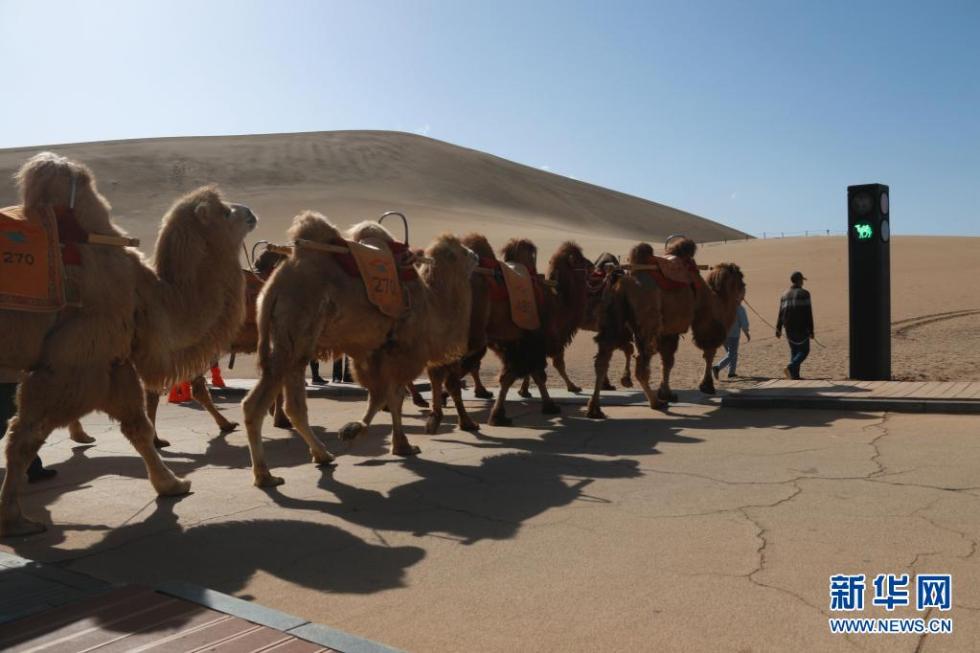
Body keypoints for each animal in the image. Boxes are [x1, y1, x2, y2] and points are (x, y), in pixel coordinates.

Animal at [0, 153, 256, 536]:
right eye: (226, 213)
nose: (251, 212)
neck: (147, 295)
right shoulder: (71, 363)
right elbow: (23, 437)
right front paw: (14, 519)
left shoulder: (113, 361)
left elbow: (138, 426)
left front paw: (171, 484)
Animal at [243, 211, 476, 486]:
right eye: (460, 252)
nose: (476, 255)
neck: (431, 303)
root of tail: (273, 287)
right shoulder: (400, 350)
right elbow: (390, 396)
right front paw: (360, 432)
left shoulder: (373, 351)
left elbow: (386, 397)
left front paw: (395, 443)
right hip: (296, 330)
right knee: (262, 403)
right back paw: (266, 475)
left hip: (286, 338)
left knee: (289, 403)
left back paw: (320, 455)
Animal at [588, 243, 668, 418]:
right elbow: (634, 352)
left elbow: (628, 349)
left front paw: (625, 380)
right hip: (644, 324)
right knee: (642, 361)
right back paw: (656, 402)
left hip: (612, 323)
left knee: (602, 360)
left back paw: (594, 408)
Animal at [652, 239, 744, 402]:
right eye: (741, 276)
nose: (744, 288)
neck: (717, 300)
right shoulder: (707, 327)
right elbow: (709, 354)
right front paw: (707, 386)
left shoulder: (668, 331)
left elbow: (667, 360)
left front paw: (665, 393)